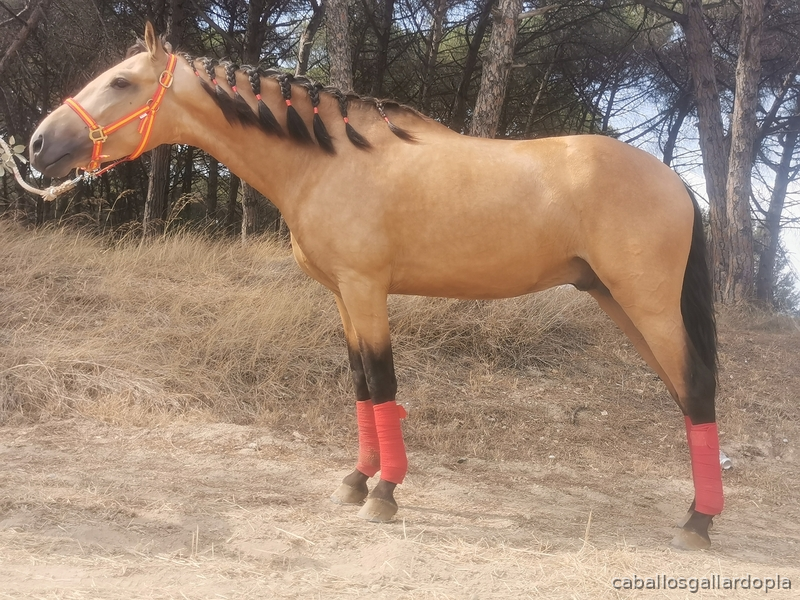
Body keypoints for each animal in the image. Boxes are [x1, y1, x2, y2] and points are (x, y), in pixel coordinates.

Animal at [29, 23, 723, 550]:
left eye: (122, 82)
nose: (37, 144)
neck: (332, 159)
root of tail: (676, 182)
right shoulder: (343, 296)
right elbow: (362, 385)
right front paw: (355, 482)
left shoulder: (366, 290)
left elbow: (384, 384)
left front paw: (384, 496)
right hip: (616, 301)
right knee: (685, 394)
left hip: (647, 304)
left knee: (695, 387)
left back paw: (698, 524)